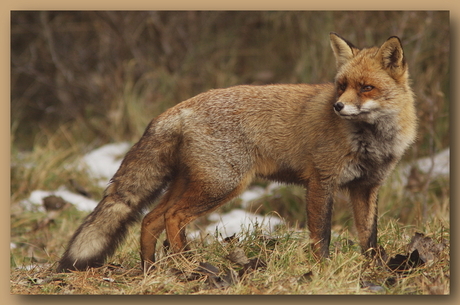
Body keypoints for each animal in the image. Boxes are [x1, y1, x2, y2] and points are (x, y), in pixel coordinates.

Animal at [56, 33, 416, 270]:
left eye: (366, 88)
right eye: (341, 86)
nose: (338, 106)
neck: (370, 139)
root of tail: (178, 108)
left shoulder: (366, 187)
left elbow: (369, 237)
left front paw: (375, 270)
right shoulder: (321, 181)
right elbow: (322, 236)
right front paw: (322, 271)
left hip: (192, 184)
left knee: (150, 219)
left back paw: (152, 268)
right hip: (223, 185)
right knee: (172, 217)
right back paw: (187, 263)